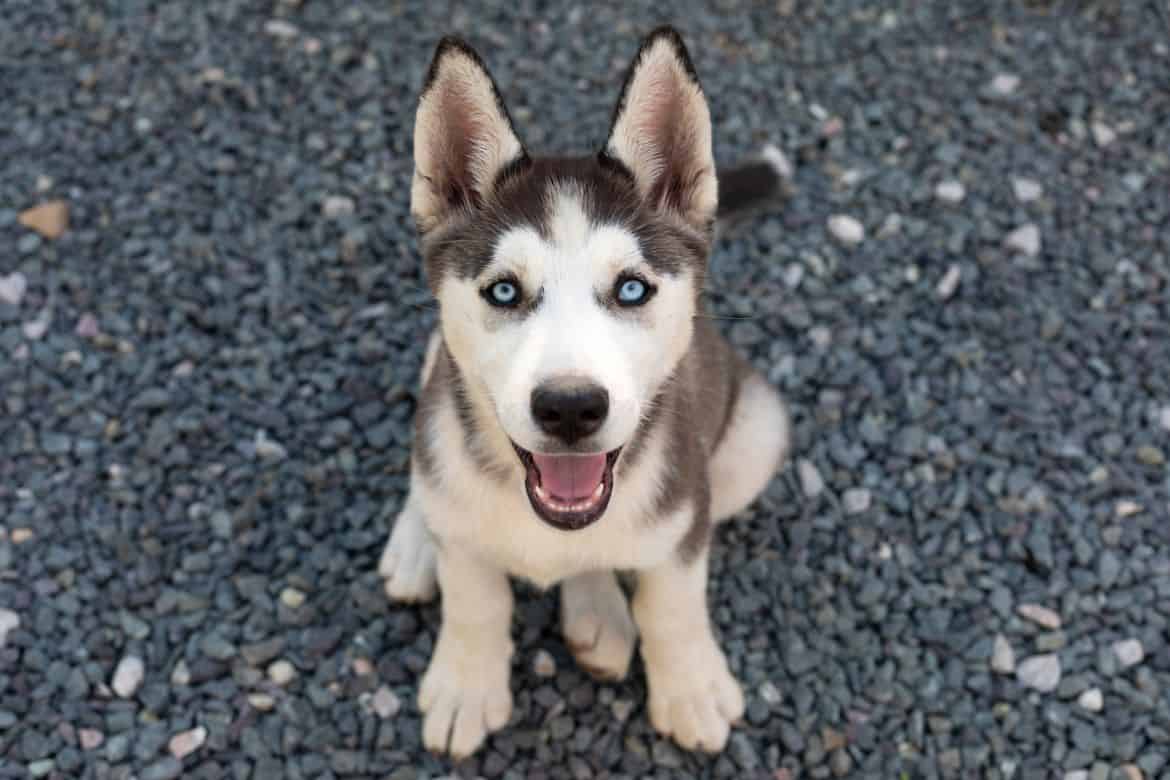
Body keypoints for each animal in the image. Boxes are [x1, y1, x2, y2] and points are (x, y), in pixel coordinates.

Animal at [379, 22, 790, 757]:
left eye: (631, 289)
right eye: (503, 291)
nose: (570, 408)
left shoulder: (684, 510)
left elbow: (672, 601)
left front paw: (690, 686)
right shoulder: (465, 519)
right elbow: (475, 598)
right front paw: (466, 683)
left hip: (756, 438)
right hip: (436, 367)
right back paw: (417, 540)